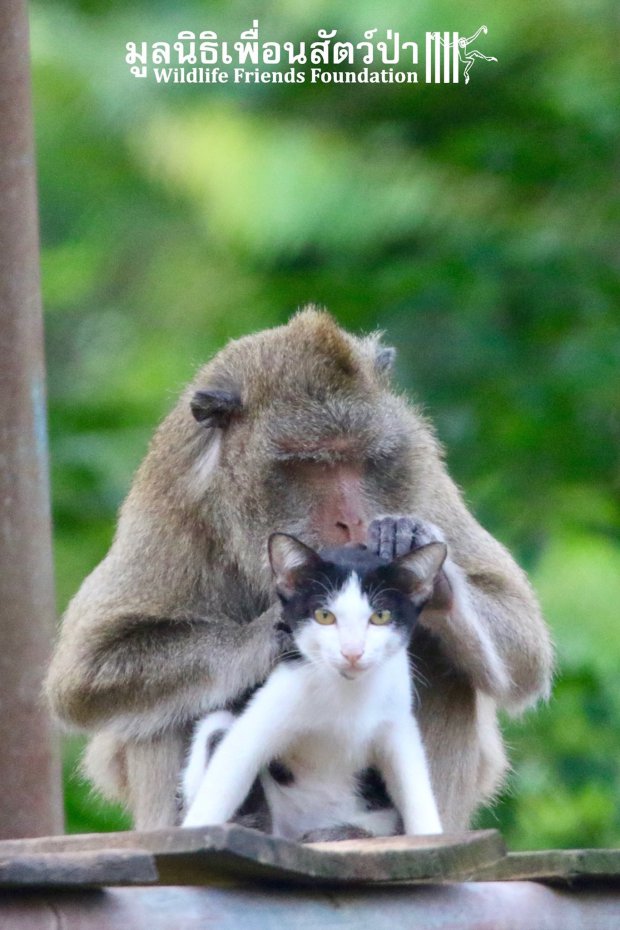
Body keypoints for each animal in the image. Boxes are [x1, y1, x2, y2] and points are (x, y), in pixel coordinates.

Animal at [180, 528, 446, 840]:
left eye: (380, 617)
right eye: (324, 616)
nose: (352, 652)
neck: (345, 692)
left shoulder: (397, 721)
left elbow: (414, 785)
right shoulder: (268, 707)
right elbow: (225, 777)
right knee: (215, 732)